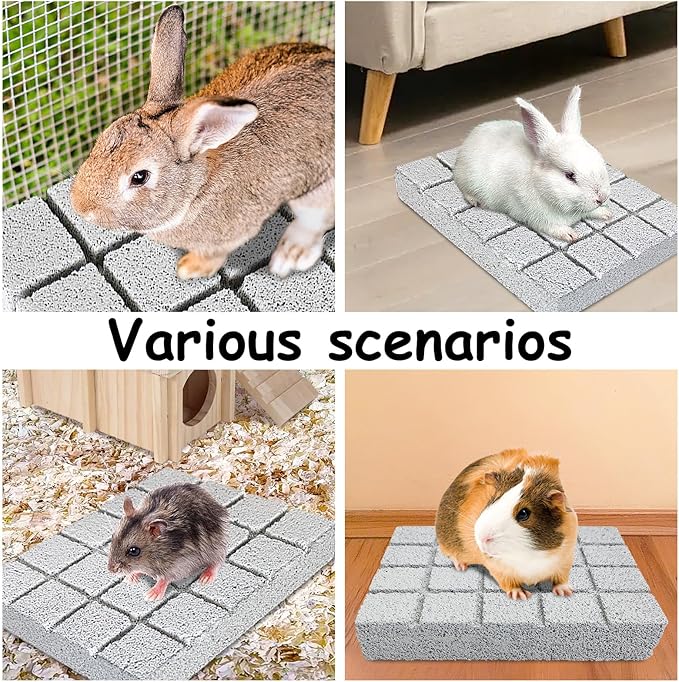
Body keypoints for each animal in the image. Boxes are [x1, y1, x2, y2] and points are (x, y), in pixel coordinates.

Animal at [70, 5, 334, 280]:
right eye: (102, 138)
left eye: (139, 177)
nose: (80, 206)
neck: (197, 188)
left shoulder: (232, 232)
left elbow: (213, 255)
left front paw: (188, 268)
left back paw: (290, 257)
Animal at [436, 448, 578, 601]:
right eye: (493, 499)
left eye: (524, 513)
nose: (483, 538)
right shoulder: (499, 570)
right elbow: (509, 583)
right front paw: (520, 595)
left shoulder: (565, 560)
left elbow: (561, 579)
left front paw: (566, 592)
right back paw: (461, 567)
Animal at [453, 86, 611, 242]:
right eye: (569, 175)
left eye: (599, 158)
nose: (602, 198)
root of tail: (469, 140)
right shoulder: (536, 218)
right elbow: (551, 227)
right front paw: (570, 234)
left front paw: (606, 213)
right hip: (468, 180)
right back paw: (475, 201)